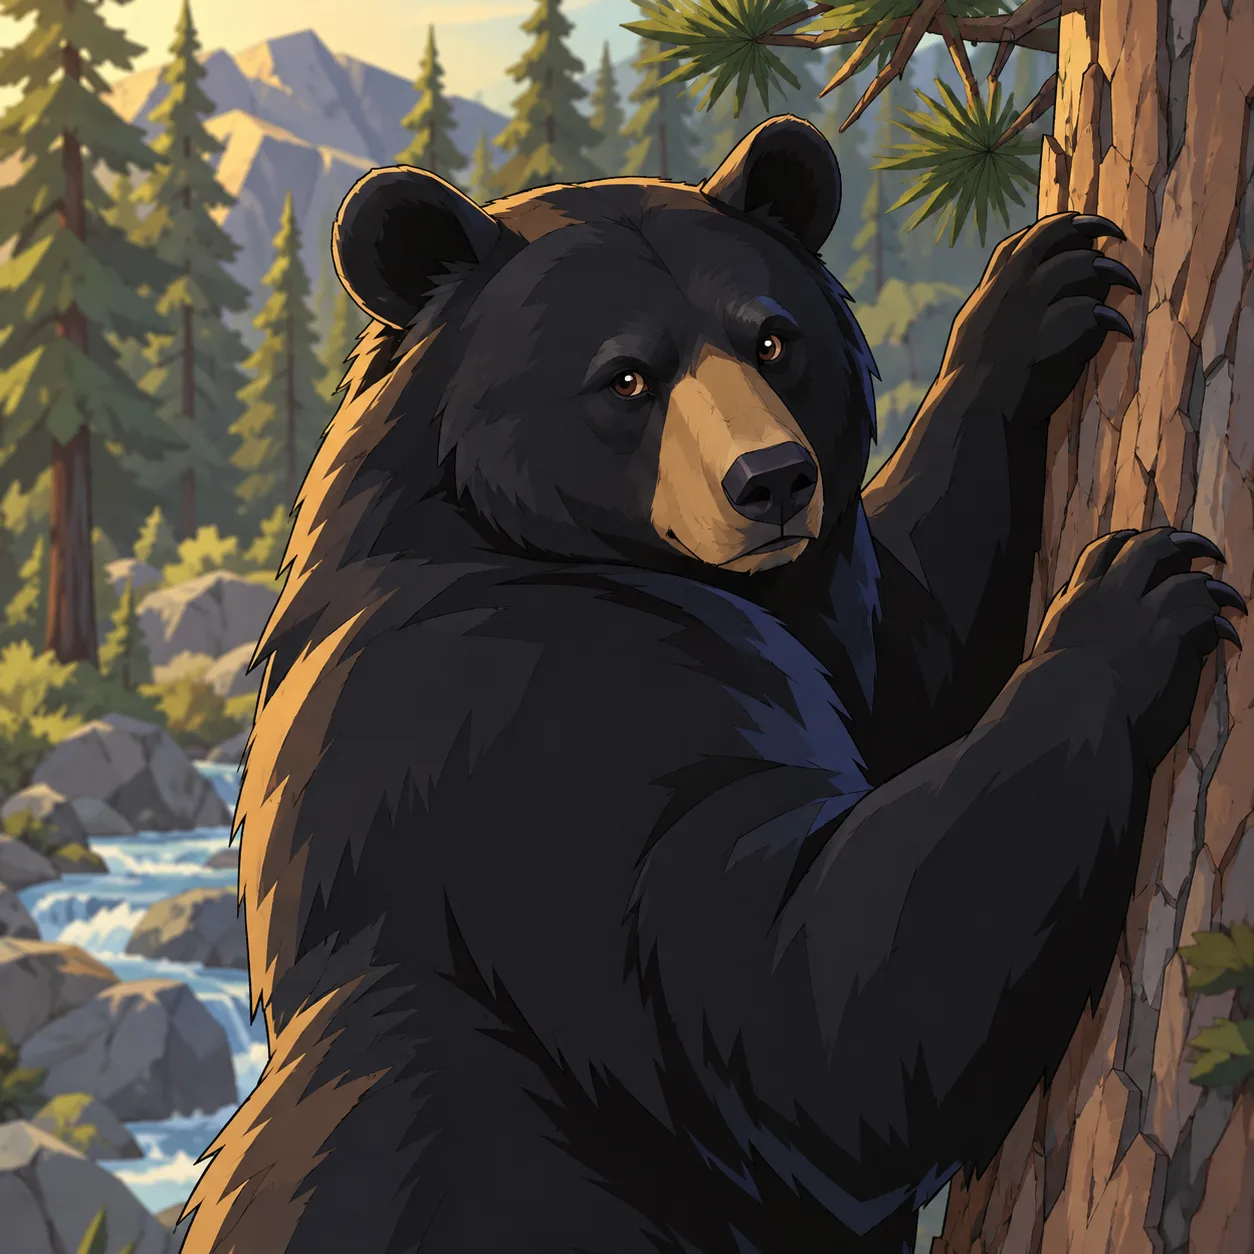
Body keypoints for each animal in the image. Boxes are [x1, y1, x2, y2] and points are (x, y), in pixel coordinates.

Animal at [179, 116, 1245, 1254]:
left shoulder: (802, 619)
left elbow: (906, 657)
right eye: (626, 377)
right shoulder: (536, 725)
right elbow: (799, 1006)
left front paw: (1035, 296)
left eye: (771, 339)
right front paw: (1125, 613)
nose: (773, 481)